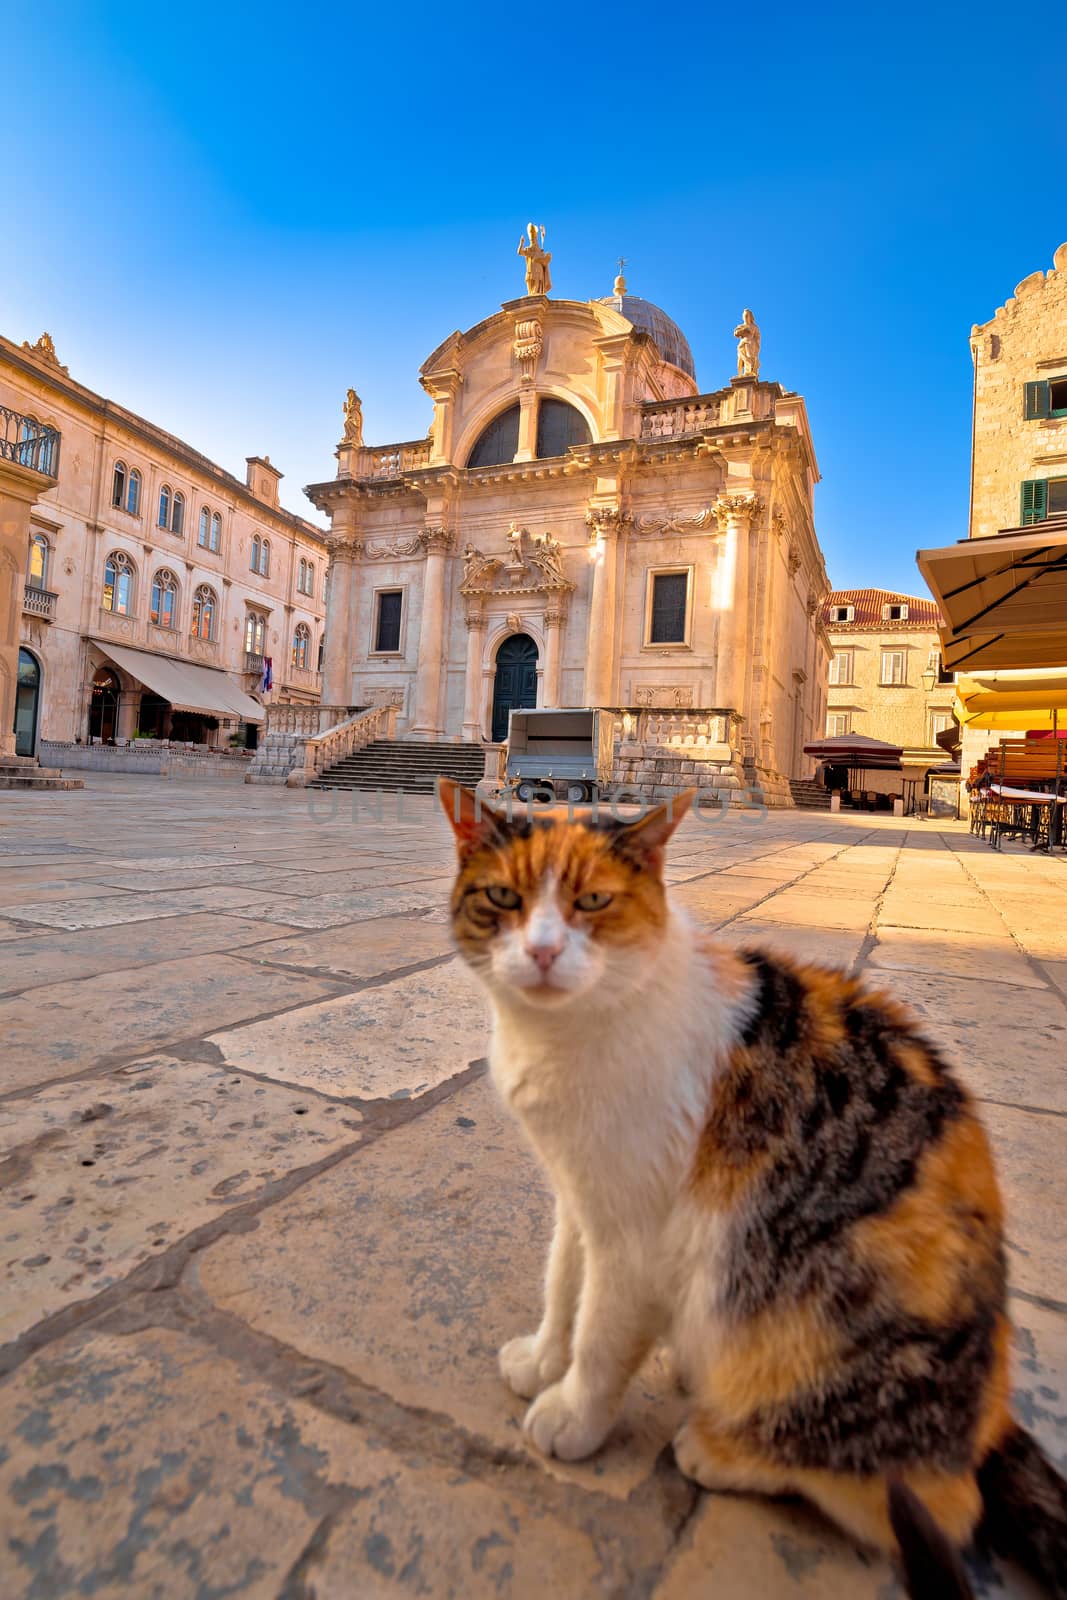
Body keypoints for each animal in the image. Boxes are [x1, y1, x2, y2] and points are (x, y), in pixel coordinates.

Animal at [438, 780, 1062, 1593]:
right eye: (503, 897)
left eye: (594, 902)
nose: (542, 951)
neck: (563, 1036)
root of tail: (986, 1418)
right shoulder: (582, 1193)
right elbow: (563, 1284)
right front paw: (545, 1360)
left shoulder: (639, 1229)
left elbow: (602, 1335)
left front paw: (574, 1413)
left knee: (930, 1504)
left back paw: (716, 1447)